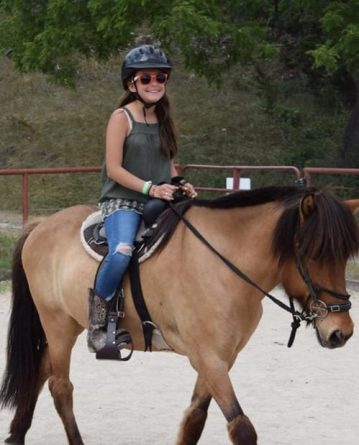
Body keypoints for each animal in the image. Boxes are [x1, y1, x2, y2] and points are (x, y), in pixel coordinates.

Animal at [0, 185, 359, 444]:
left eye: (344, 256)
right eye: (313, 253)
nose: (340, 331)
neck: (223, 262)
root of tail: (40, 227)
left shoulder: (220, 358)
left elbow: (194, 421)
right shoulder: (209, 358)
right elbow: (242, 428)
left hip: (71, 324)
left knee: (41, 368)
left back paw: (17, 433)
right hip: (57, 323)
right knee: (60, 386)